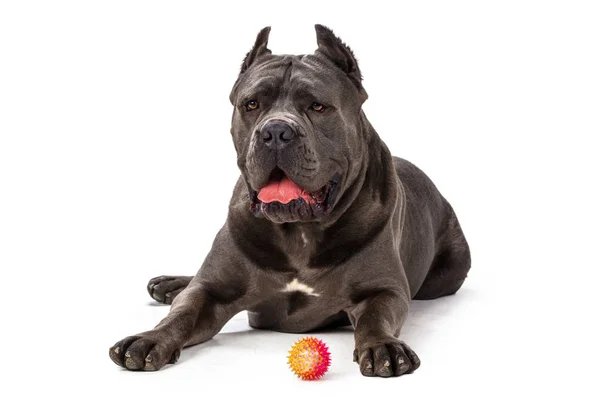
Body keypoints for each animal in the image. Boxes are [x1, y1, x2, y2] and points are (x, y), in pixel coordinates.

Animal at [110, 25, 472, 378]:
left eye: (317, 106)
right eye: (251, 104)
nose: (275, 132)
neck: (299, 230)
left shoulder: (384, 290)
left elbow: (376, 317)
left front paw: (383, 346)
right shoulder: (212, 290)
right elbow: (184, 310)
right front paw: (149, 339)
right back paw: (171, 284)